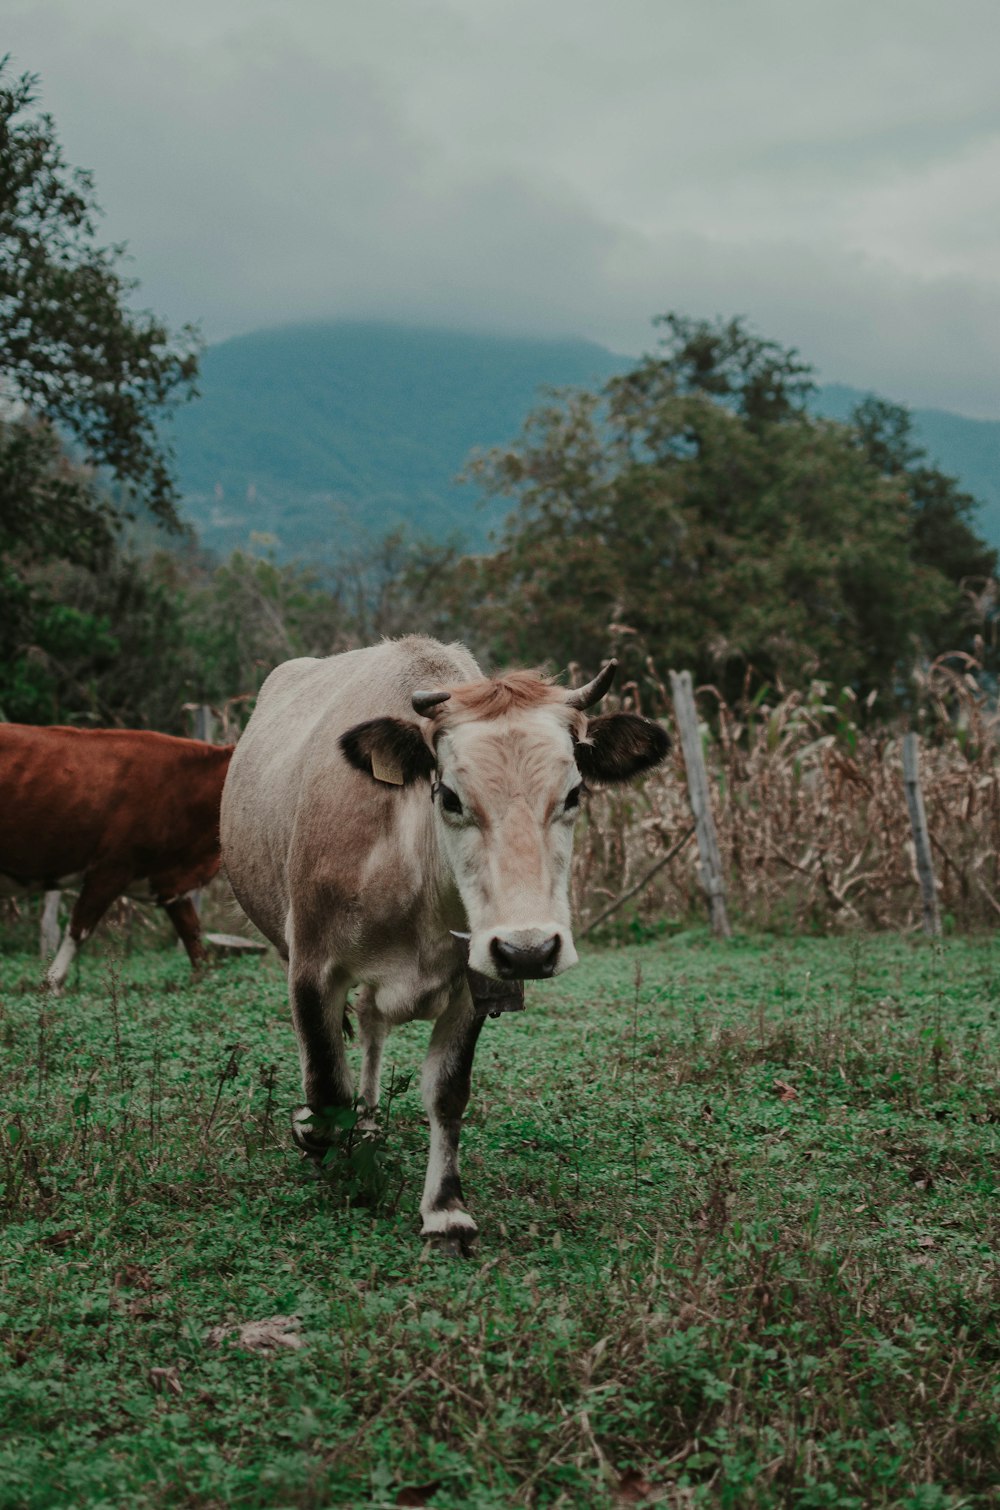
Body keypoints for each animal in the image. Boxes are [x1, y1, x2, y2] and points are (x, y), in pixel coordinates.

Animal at [0, 721, 232, 990]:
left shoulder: (169, 880)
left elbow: (191, 932)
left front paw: (208, 981)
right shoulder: (112, 866)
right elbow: (79, 927)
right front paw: (53, 983)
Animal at [223, 631, 670, 1244]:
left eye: (575, 793)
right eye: (451, 797)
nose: (529, 949)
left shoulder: (474, 982)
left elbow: (447, 1092)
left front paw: (444, 1209)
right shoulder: (312, 968)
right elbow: (325, 1082)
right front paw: (325, 1153)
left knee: (372, 1030)